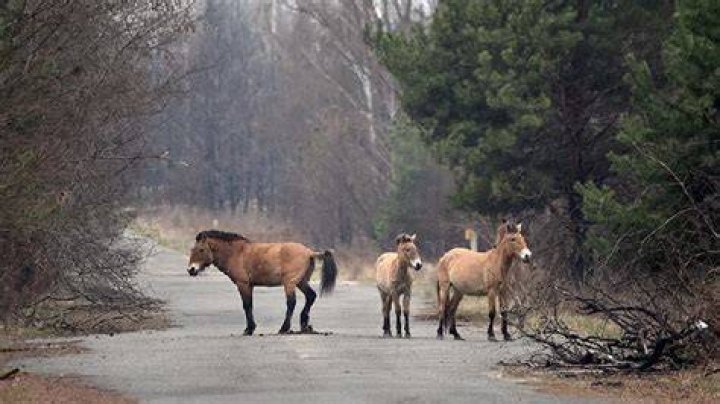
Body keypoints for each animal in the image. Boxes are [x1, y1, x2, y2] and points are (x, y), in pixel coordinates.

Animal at [186, 230, 338, 335]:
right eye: (192, 249)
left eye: (201, 249)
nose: (191, 270)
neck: (236, 253)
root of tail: (310, 252)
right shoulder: (249, 286)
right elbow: (249, 305)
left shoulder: (243, 284)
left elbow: (247, 305)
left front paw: (249, 329)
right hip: (301, 282)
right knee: (311, 296)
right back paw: (304, 325)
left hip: (290, 283)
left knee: (291, 303)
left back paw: (284, 328)